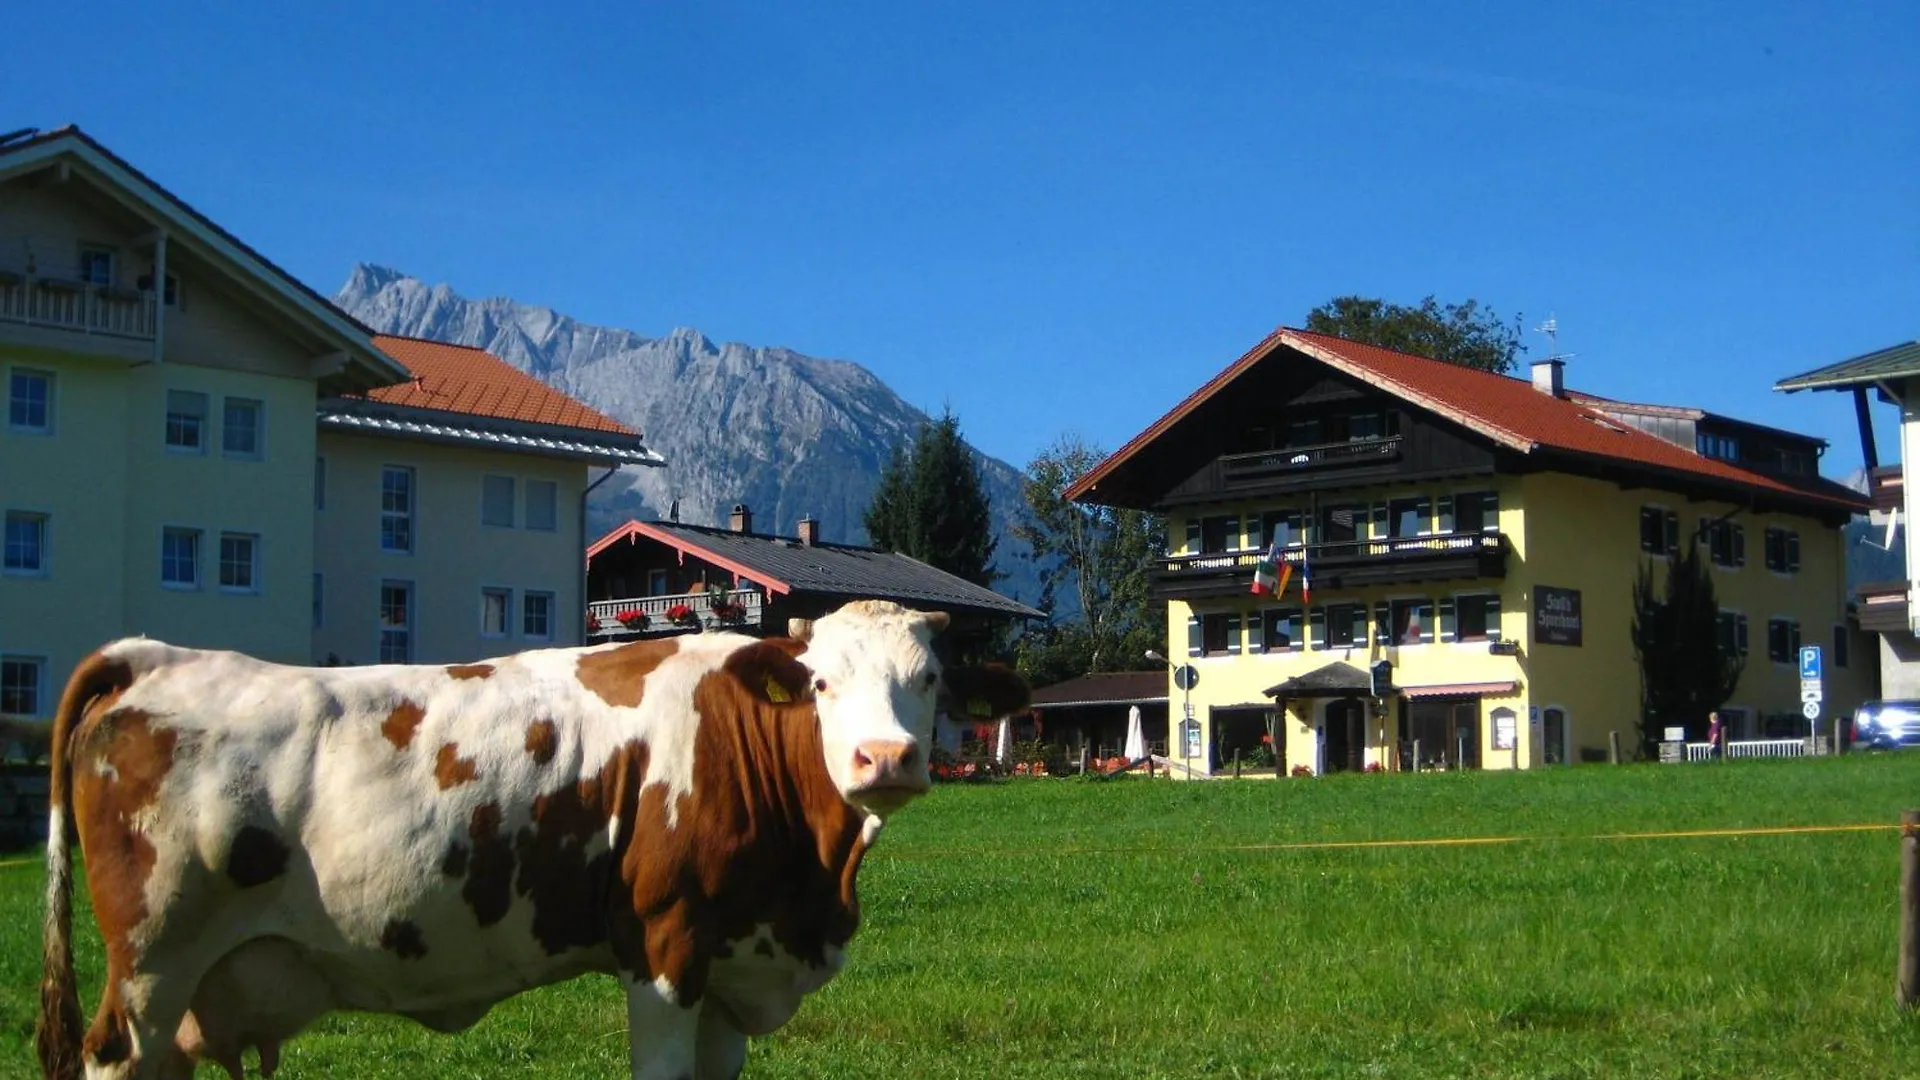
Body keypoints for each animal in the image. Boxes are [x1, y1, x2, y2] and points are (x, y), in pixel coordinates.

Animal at [37, 595, 1029, 1076]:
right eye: (821, 683)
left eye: (931, 679)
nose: (884, 757)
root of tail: (156, 656)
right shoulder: (663, 951)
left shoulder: (731, 965)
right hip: (152, 966)